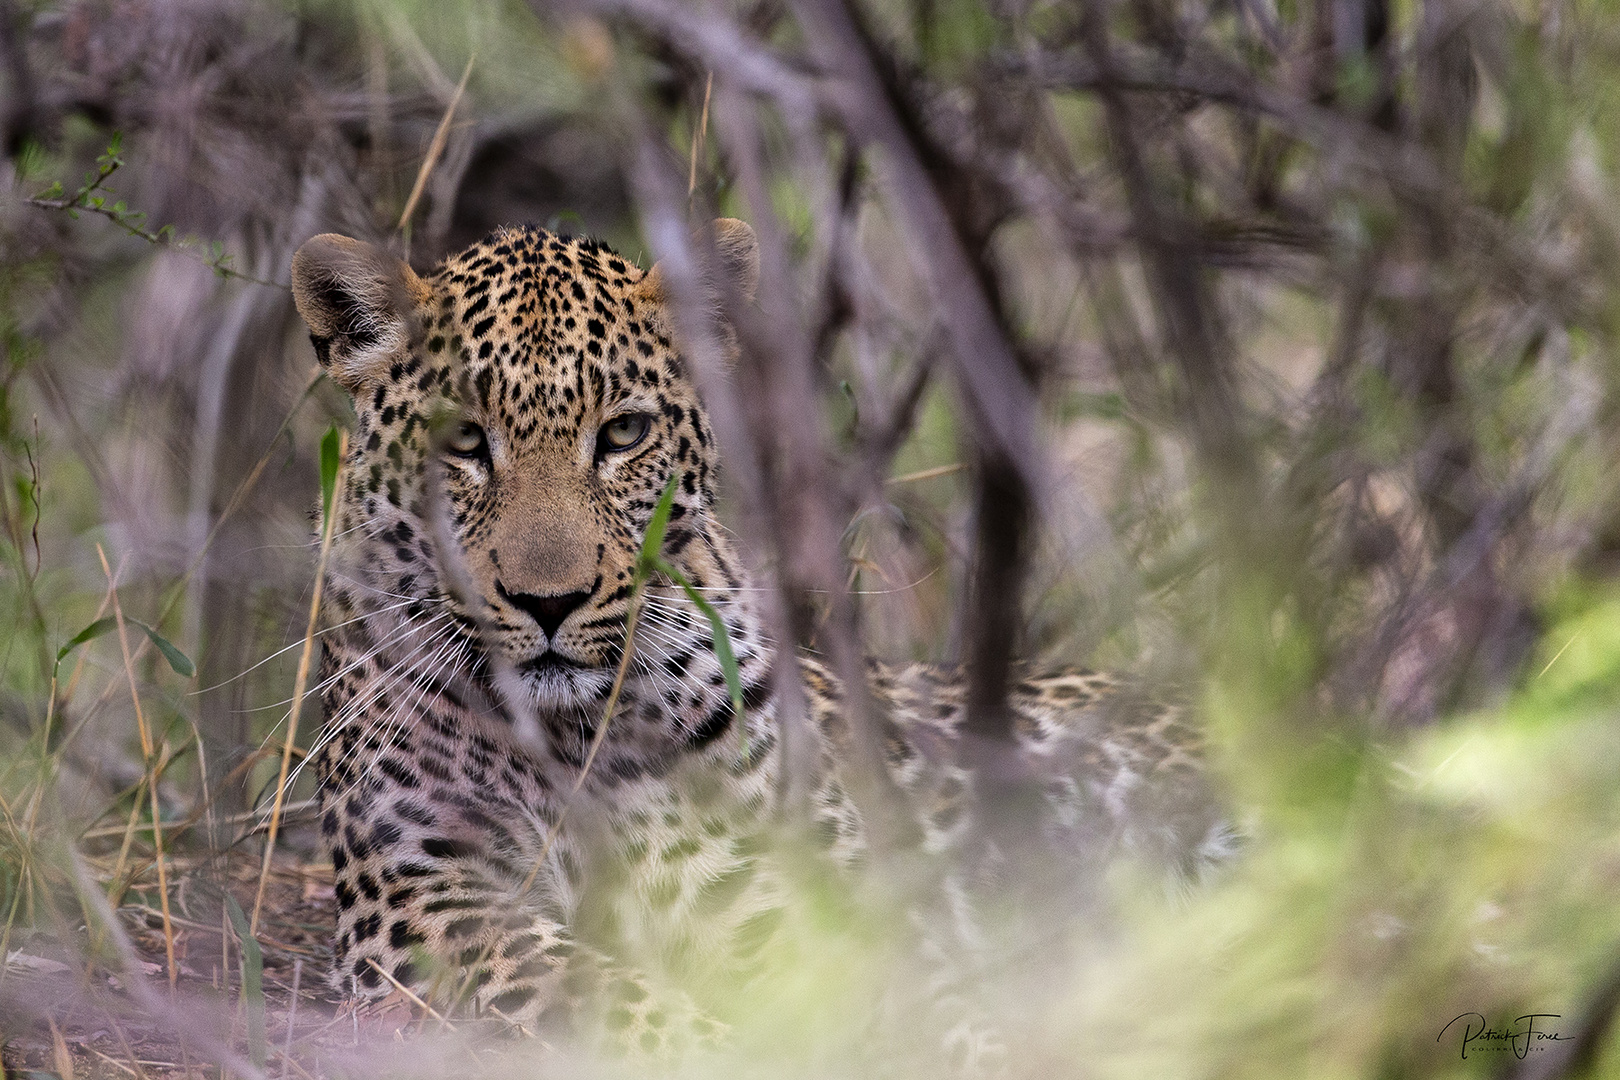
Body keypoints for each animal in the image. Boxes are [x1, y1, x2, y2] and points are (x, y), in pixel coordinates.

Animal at [291, 215, 1224, 1062]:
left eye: (623, 434)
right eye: (463, 441)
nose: (548, 602)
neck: (572, 734)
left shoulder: (761, 874)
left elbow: (897, 998)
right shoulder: (423, 893)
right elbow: (589, 991)